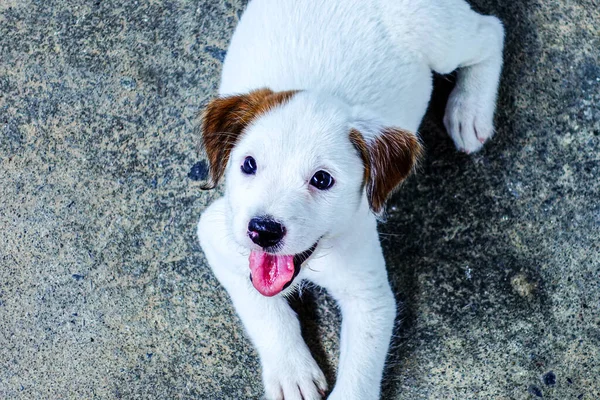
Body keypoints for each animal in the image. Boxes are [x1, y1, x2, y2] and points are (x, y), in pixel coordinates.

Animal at [197, 1, 502, 398]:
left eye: (322, 180)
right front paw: (291, 371)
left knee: (491, 32)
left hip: (441, 39)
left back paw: (470, 110)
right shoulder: (216, 233)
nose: (263, 231)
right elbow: (261, 306)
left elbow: (359, 372)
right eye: (248, 164)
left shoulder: (370, 297)